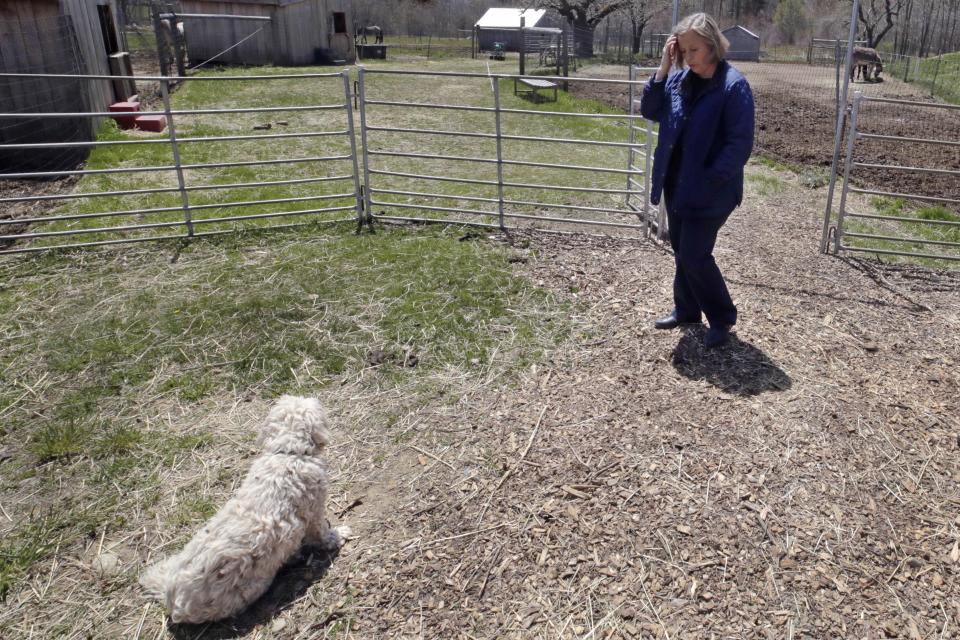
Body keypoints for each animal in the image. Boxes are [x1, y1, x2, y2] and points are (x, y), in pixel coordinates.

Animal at [141, 396, 350, 624]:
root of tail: (172, 596)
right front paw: (338, 535)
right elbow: (321, 533)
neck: (287, 454)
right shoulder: (314, 511)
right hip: (247, 591)